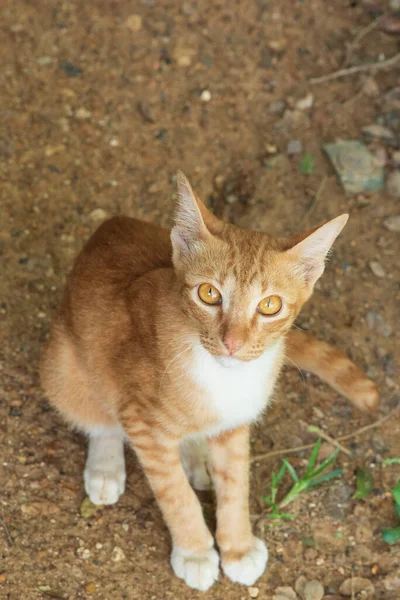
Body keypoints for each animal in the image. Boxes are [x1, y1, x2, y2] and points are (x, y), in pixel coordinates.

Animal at [40, 172, 378, 592]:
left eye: (270, 305)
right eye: (209, 293)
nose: (233, 343)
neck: (223, 379)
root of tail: (109, 225)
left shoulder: (235, 426)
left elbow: (236, 486)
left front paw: (237, 547)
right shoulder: (142, 422)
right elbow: (176, 495)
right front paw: (196, 553)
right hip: (62, 368)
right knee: (100, 418)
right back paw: (107, 467)